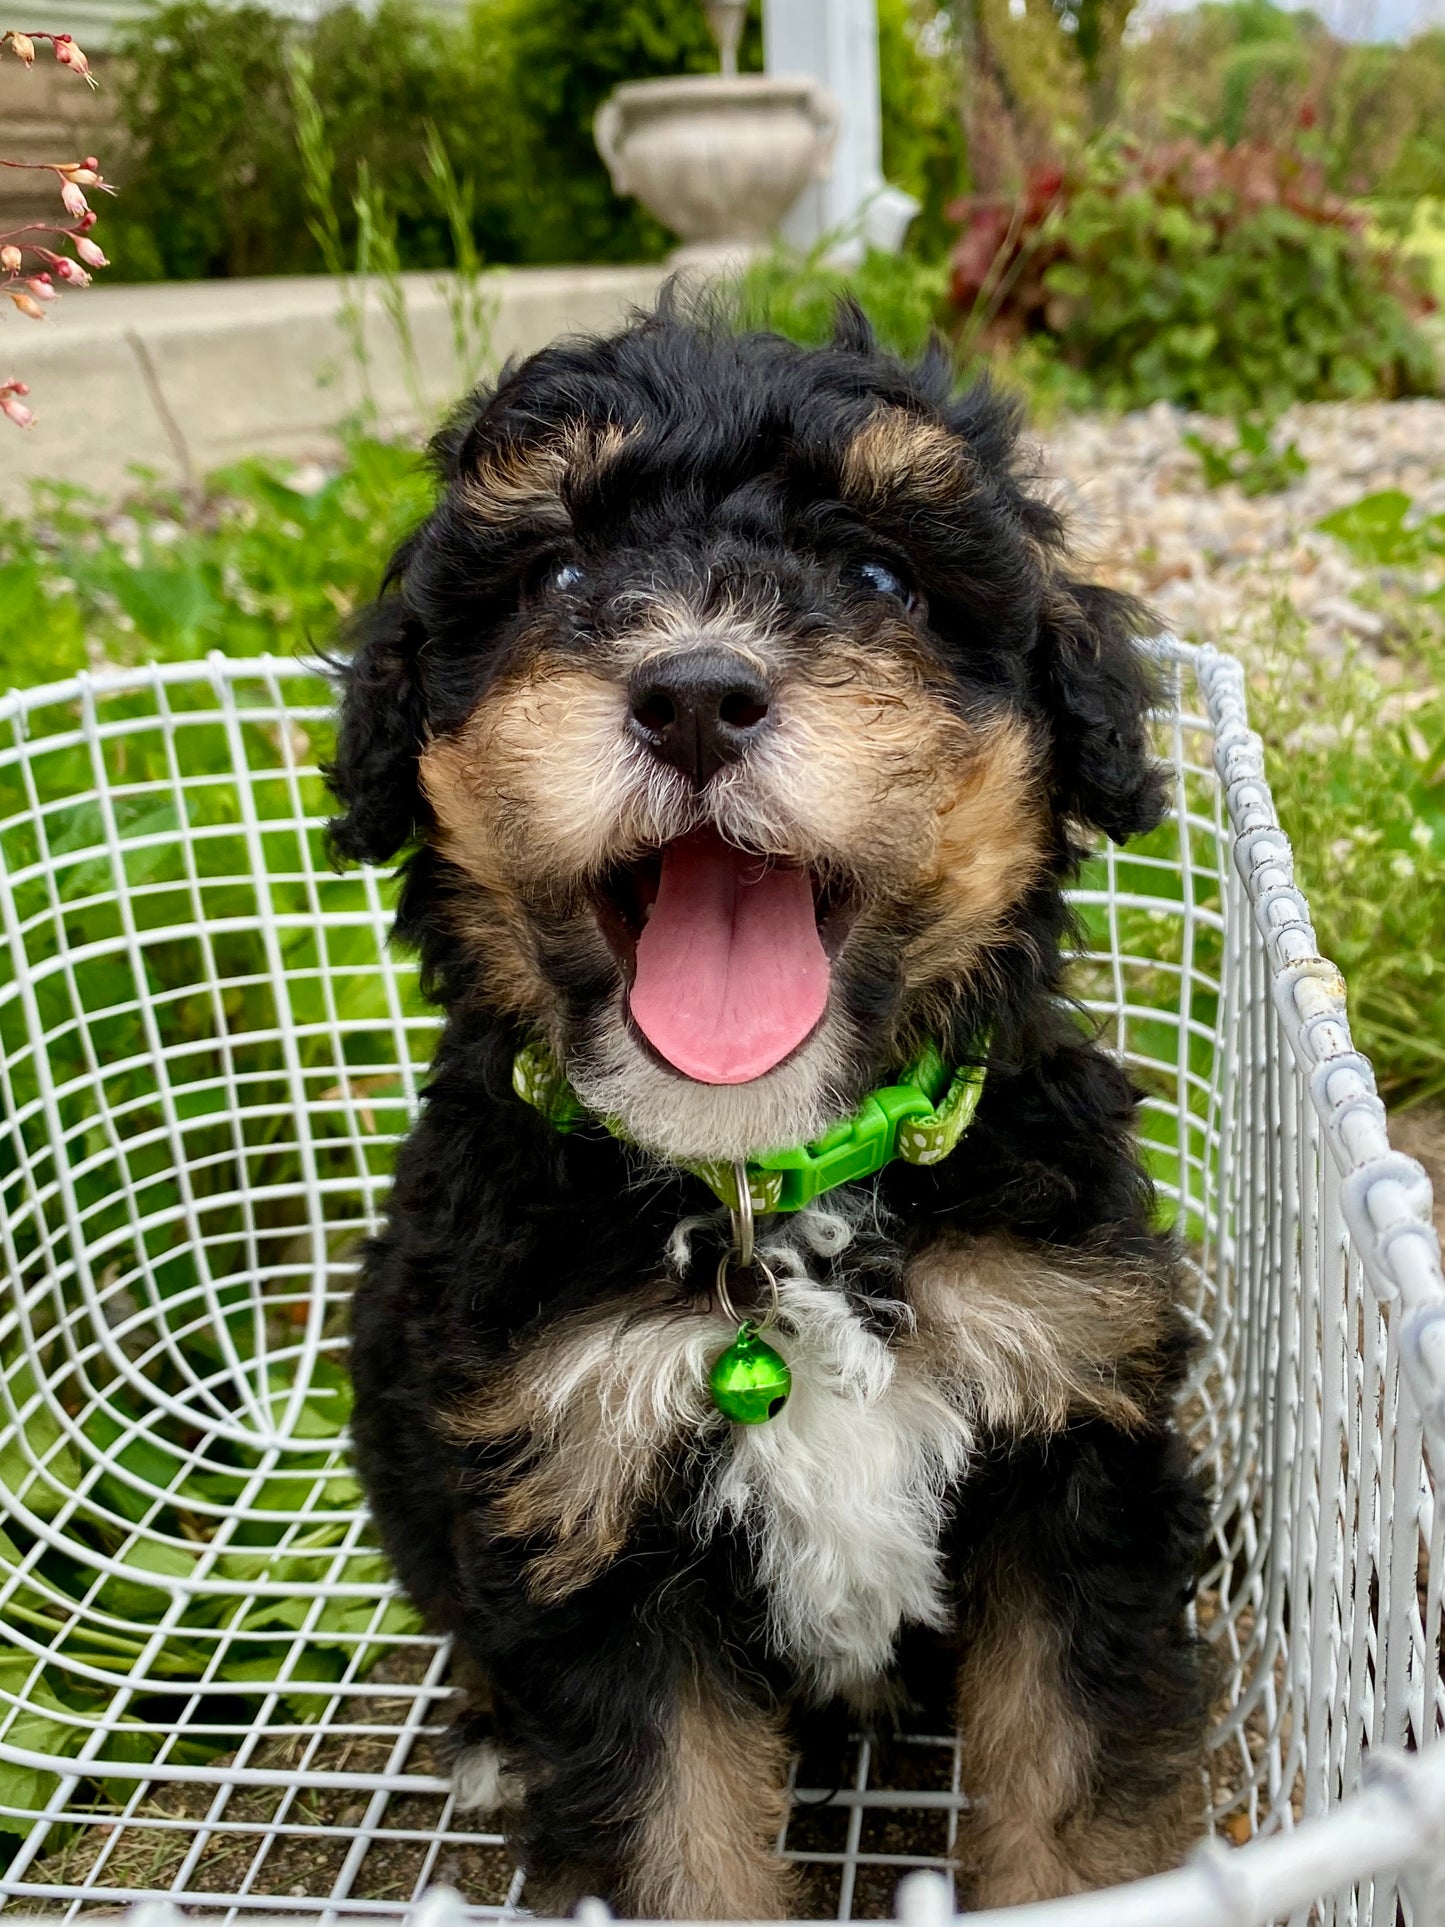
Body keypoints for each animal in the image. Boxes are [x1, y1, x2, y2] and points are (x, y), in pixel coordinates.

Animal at [327, 300, 1209, 1911]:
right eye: (555, 574)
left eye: (879, 576)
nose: (692, 691)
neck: (769, 1191)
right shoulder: (578, 1497)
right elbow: (676, 1836)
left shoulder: (1070, 1424)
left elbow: (1075, 1789)